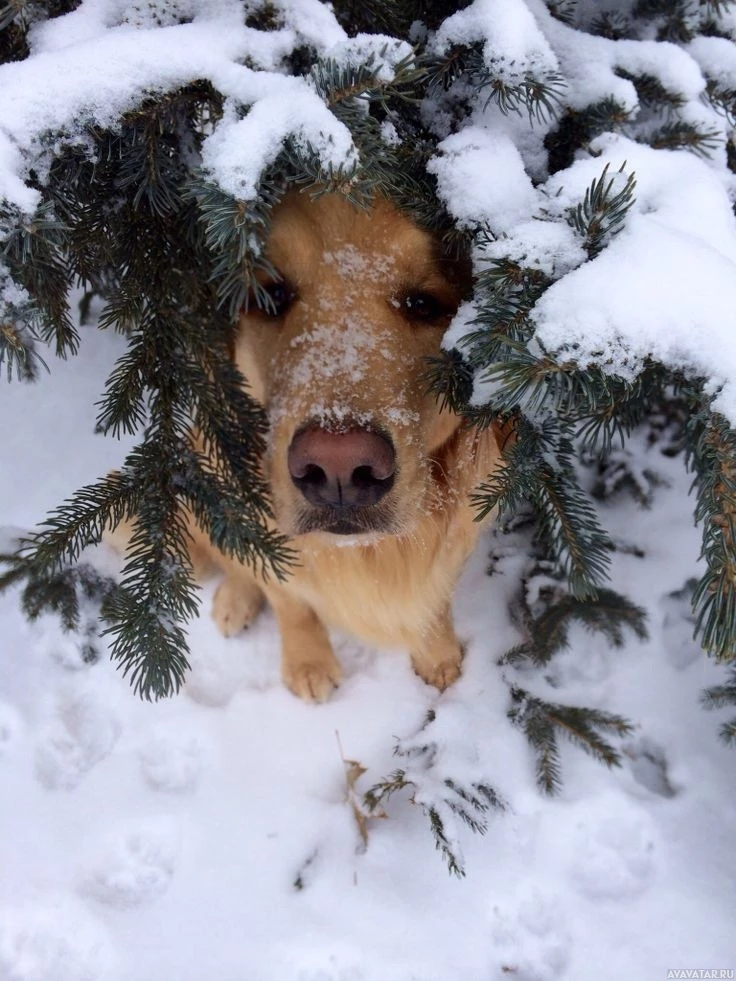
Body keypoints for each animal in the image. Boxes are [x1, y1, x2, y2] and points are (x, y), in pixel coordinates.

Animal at [116, 189, 506, 696]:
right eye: (271, 297)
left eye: (424, 303)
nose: (339, 467)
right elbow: (290, 601)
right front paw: (308, 663)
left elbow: (433, 599)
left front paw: (437, 656)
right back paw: (234, 601)